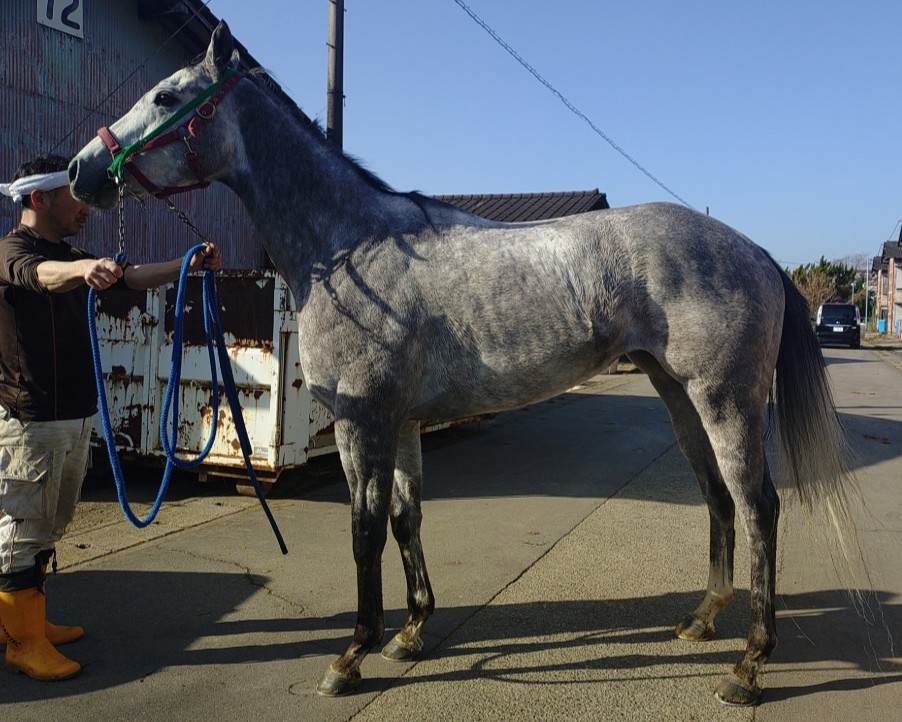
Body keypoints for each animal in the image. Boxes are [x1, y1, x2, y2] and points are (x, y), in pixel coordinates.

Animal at [69, 21, 855, 706]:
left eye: (166, 96)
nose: (79, 171)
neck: (351, 247)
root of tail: (755, 251)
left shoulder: (361, 423)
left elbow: (363, 531)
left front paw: (351, 655)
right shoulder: (403, 423)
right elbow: (406, 520)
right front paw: (412, 633)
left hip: (725, 402)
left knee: (759, 507)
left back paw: (748, 667)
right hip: (680, 397)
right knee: (719, 498)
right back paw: (701, 619)